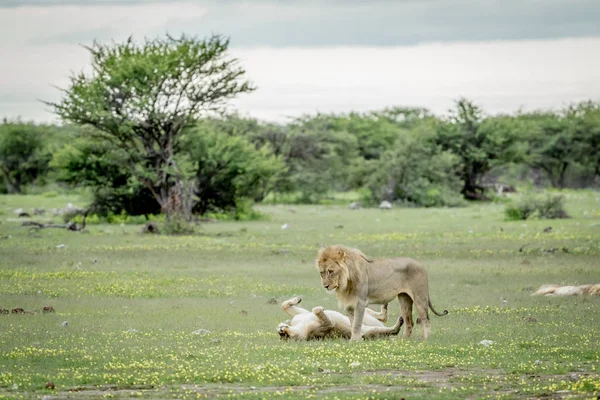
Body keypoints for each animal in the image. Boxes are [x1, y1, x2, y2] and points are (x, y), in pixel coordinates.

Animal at [316, 244, 448, 340]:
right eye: (321, 273)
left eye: (331, 271)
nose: (325, 286)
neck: (346, 280)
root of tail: (421, 265)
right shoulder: (349, 305)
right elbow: (352, 323)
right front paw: (356, 339)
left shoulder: (360, 303)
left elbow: (357, 324)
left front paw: (354, 341)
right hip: (404, 299)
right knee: (409, 322)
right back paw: (402, 340)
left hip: (420, 297)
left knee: (426, 319)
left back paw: (425, 339)